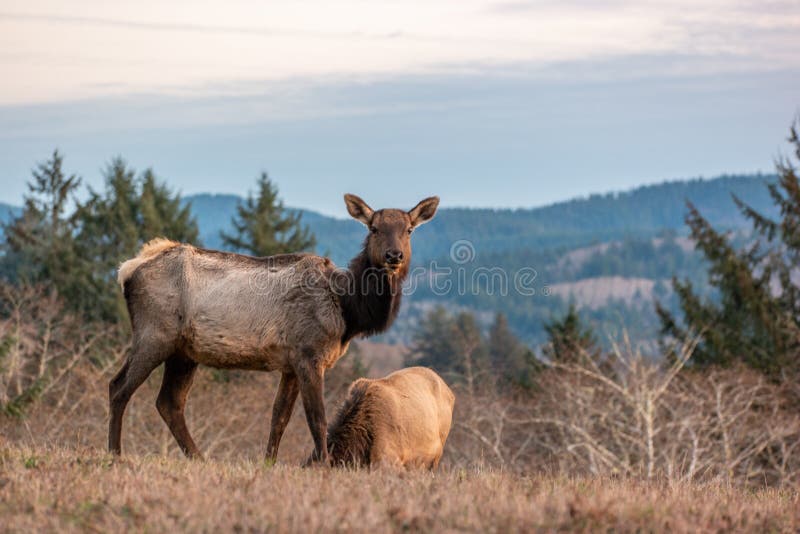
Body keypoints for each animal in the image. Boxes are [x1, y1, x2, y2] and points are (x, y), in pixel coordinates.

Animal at [109, 194, 439, 464]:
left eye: (409, 229)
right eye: (373, 228)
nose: (394, 256)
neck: (348, 311)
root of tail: (127, 270)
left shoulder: (291, 363)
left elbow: (279, 417)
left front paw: (268, 462)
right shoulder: (308, 353)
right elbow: (317, 419)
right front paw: (325, 466)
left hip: (184, 352)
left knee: (169, 402)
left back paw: (199, 458)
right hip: (154, 333)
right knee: (119, 386)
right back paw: (115, 453)